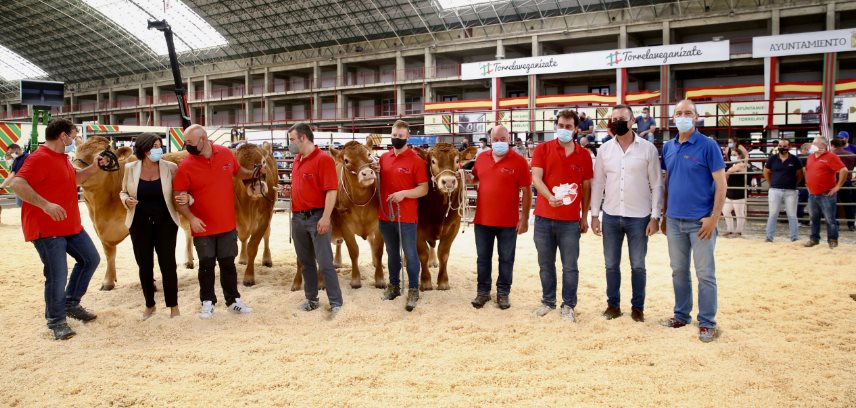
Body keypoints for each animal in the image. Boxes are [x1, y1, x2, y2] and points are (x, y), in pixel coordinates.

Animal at [232, 143, 276, 286]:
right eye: (240, 166)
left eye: (263, 162)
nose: (257, 186)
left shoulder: (265, 218)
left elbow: (253, 246)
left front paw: (249, 277)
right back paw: (243, 258)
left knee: (267, 235)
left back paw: (267, 259)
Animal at [412, 143, 474, 290]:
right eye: (433, 161)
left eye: (457, 160)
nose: (449, 181)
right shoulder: (417, 227)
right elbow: (422, 253)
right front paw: (425, 281)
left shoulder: (454, 226)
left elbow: (444, 253)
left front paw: (443, 282)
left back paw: (433, 261)